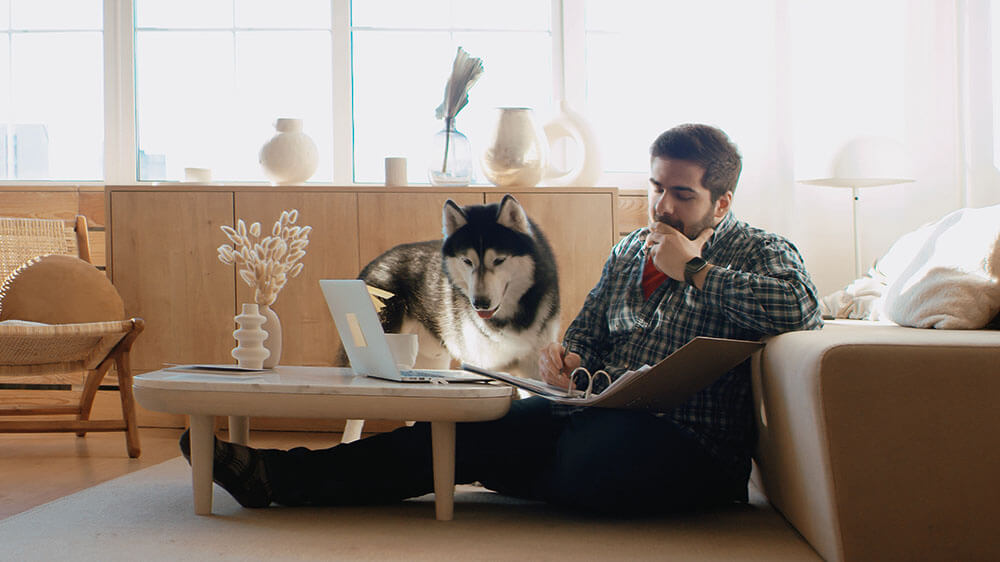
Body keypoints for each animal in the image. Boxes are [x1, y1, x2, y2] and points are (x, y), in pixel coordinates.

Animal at [356, 192, 560, 376]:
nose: (480, 303)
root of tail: (373, 264)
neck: (510, 318)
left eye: (499, 260)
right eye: (467, 261)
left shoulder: (536, 364)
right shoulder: (486, 366)